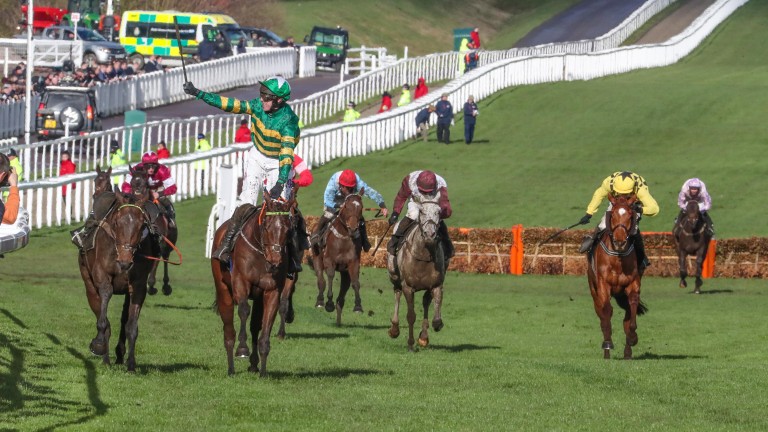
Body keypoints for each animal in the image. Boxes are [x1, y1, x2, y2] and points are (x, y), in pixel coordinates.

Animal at [79, 192, 155, 372]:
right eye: (116, 223)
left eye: (141, 225)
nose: (125, 261)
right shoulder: (102, 277)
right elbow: (104, 314)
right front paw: (99, 345)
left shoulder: (138, 285)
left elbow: (131, 326)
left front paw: (131, 364)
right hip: (88, 281)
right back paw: (106, 357)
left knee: (124, 318)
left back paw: (119, 355)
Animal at [212, 194, 298, 376]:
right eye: (266, 226)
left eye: (288, 229)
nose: (275, 260)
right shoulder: (240, 283)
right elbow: (244, 309)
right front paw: (242, 349)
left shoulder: (272, 290)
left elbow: (265, 324)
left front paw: (263, 370)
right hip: (223, 290)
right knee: (228, 328)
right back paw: (231, 367)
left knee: (254, 327)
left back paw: (253, 364)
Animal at [310, 191, 364, 326]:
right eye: (346, 207)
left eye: (361, 207)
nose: (353, 228)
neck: (343, 240)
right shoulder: (329, 260)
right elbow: (330, 276)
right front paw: (329, 303)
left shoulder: (353, 263)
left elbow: (355, 283)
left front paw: (358, 306)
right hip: (317, 258)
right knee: (321, 280)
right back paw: (320, 301)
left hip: (344, 272)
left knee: (344, 288)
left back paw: (339, 305)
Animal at [388, 197, 448, 352]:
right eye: (422, 211)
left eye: (439, 212)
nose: (430, 234)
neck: (423, 256)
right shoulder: (408, 287)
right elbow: (411, 316)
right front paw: (410, 343)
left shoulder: (436, 285)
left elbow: (436, 320)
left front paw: (425, 335)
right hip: (395, 277)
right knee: (397, 294)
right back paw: (394, 329)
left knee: (425, 301)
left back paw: (424, 338)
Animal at [588, 194, 648, 360]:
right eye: (613, 215)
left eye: (630, 215)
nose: (620, 241)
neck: (618, 258)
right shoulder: (603, 285)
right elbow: (606, 313)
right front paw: (608, 343)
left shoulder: (633, 284)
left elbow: (630, 316)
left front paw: (632, 338)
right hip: (594, 291)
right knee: (602, 314)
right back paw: (606, 352)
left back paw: (627, 353)